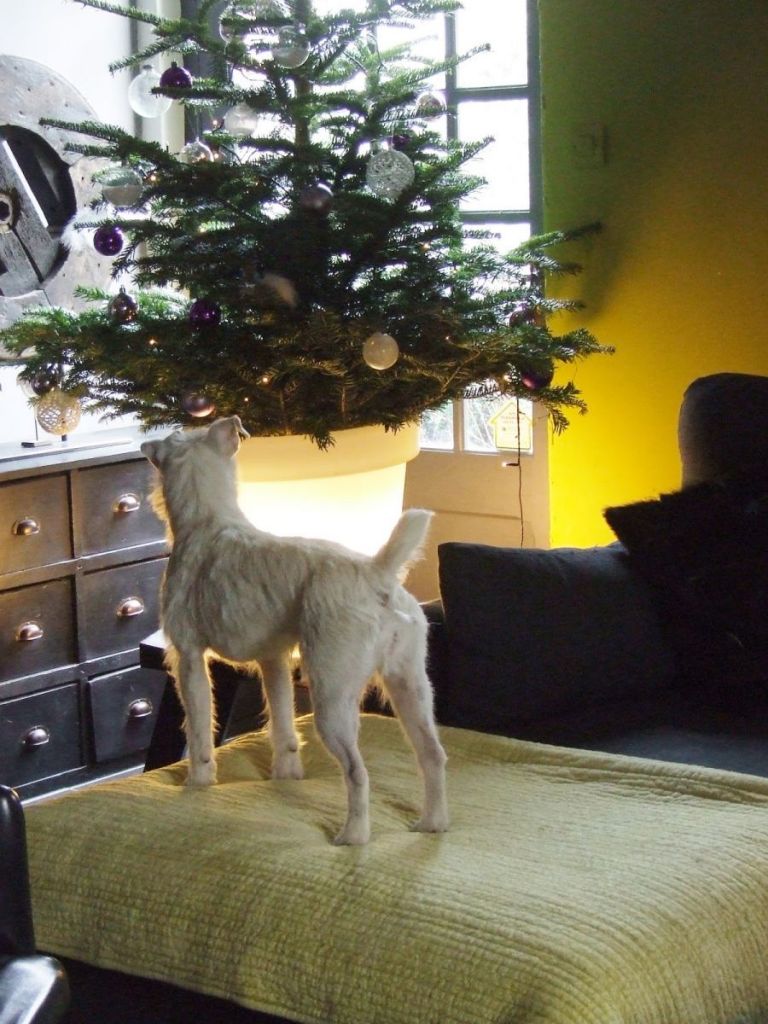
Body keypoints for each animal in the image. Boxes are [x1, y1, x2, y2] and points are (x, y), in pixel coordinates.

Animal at [140, 416, 448, 845]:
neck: (209, 521)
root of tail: (377, 572)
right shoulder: (273, 662)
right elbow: (283, 727)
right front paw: (286, 777)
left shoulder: (188, 658)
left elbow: (199, 730)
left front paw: (198, 782)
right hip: (410, 686)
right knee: (432, 754)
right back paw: (432, 823)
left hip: (332, 698)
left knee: (357, 772)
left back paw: (353, 835)